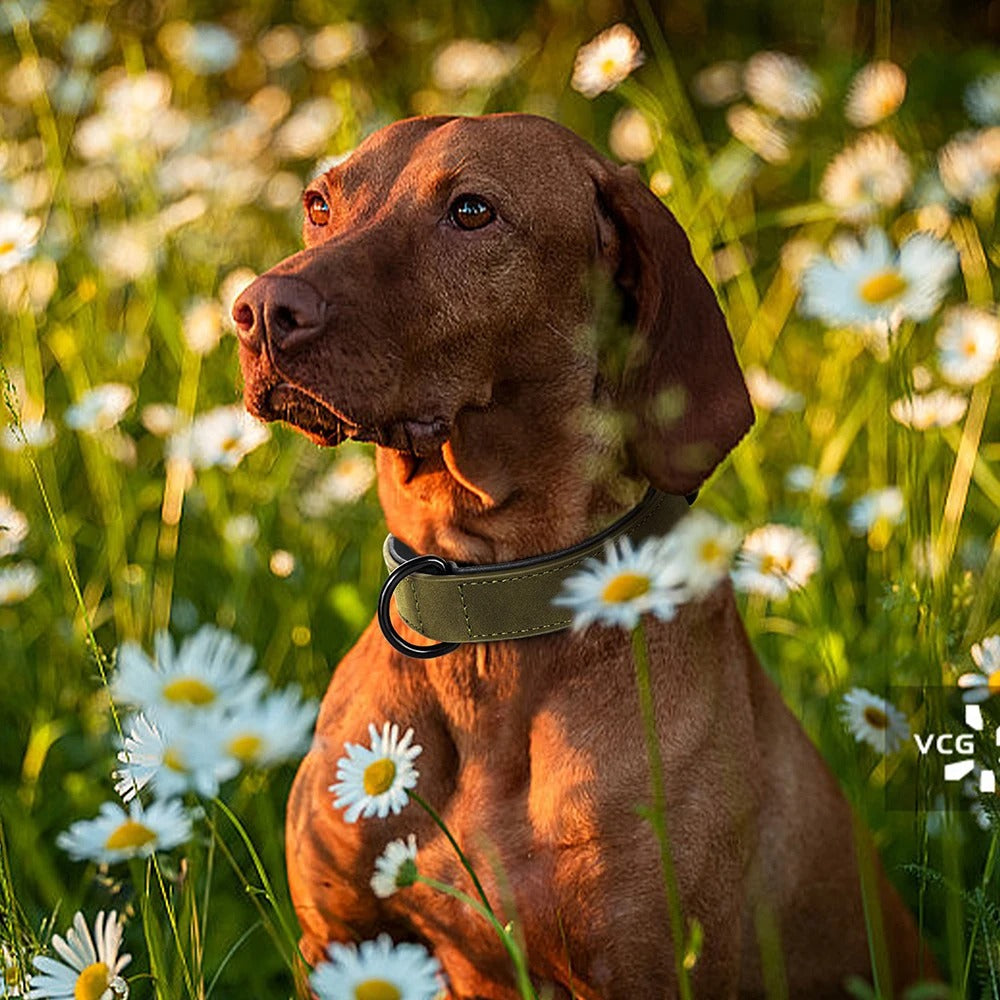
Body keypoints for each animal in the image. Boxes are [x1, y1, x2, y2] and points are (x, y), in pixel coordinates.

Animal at [232, 115, 928, 992]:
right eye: (318, 204)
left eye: (471, 211)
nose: (259, 310)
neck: (489, 618)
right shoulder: (342, 943)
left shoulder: (650, 971)